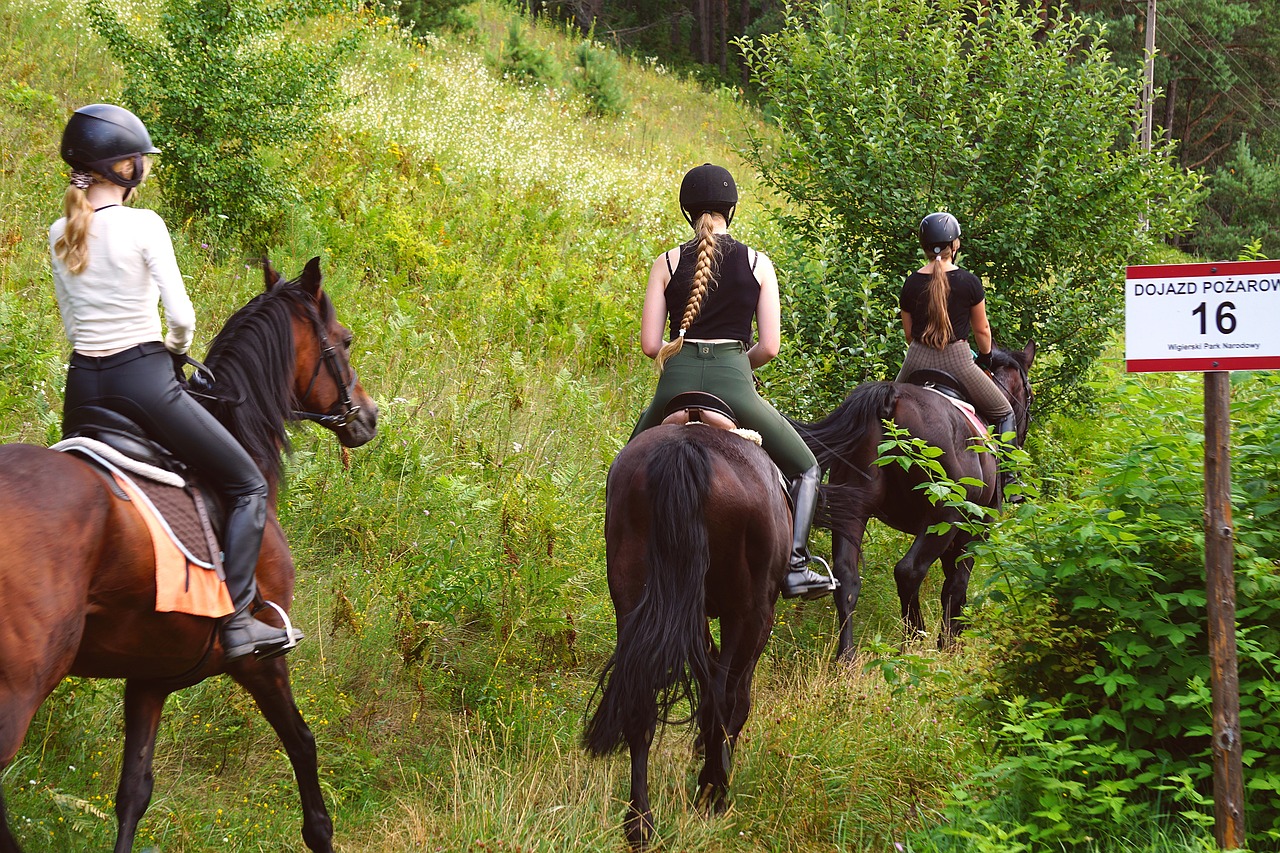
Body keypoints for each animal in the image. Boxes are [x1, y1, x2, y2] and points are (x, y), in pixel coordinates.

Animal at [0, 256, 376, 845]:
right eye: (345, 339)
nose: (368, 416)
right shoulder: (262, 663)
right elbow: (303, 744)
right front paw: (320, 832)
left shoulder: (149, 676)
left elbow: (133, 793)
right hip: (17, 691)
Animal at [586, 422, 793, 845]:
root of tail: (686, 450)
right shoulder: (752, 616)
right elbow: (736, 699)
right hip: (748, 613)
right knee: (724, 698)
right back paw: (712, 795)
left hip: (634, 594)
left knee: (642, 699)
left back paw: (639, 823)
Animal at [793, 338, 1034, 650]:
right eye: (1029, 396)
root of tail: (890, 400)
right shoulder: (974, 527)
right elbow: (957, 584)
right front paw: (950, 641)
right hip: (943, 517)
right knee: (909, 571)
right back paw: (915, 638)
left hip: (854, 509)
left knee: (847, 577)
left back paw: (847, 655)